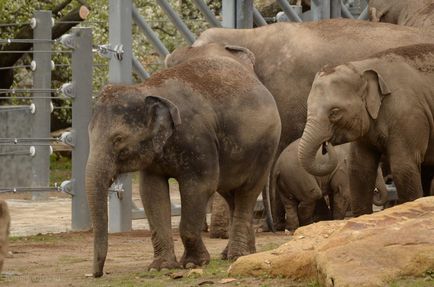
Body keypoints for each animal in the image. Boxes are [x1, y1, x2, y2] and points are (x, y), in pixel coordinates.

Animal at [85, 42, 282, 276]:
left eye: (118, 139)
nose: (98, 273)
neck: (147, 90)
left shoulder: (197, 138)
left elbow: (199, 187)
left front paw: (193, 264)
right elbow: (151, 192)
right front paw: (160, 267)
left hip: (266, 147)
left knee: (247, 192)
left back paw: (237, 255)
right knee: (230, 194)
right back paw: (240, 255)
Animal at [298, 44, 434, 217]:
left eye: (334, 112)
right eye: (308, 107)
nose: (326, 144)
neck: (361, 67)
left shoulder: (408, 115)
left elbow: (403, 166)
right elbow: (359, 169)